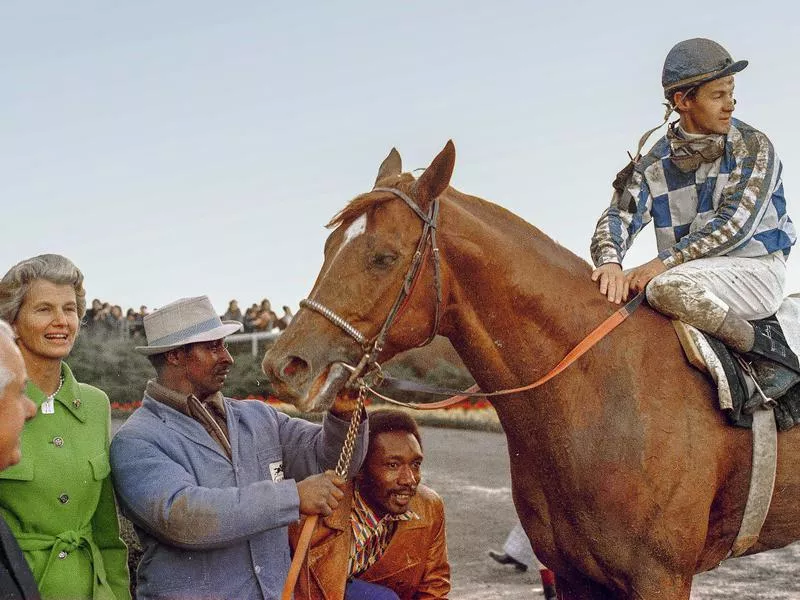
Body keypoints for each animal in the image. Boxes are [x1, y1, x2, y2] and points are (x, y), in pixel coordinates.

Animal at [262, 142, 800, 600]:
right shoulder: (575, 572)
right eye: (329, 247)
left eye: (382, 257)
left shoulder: (660, 575)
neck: (602, 390)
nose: (285, 364)